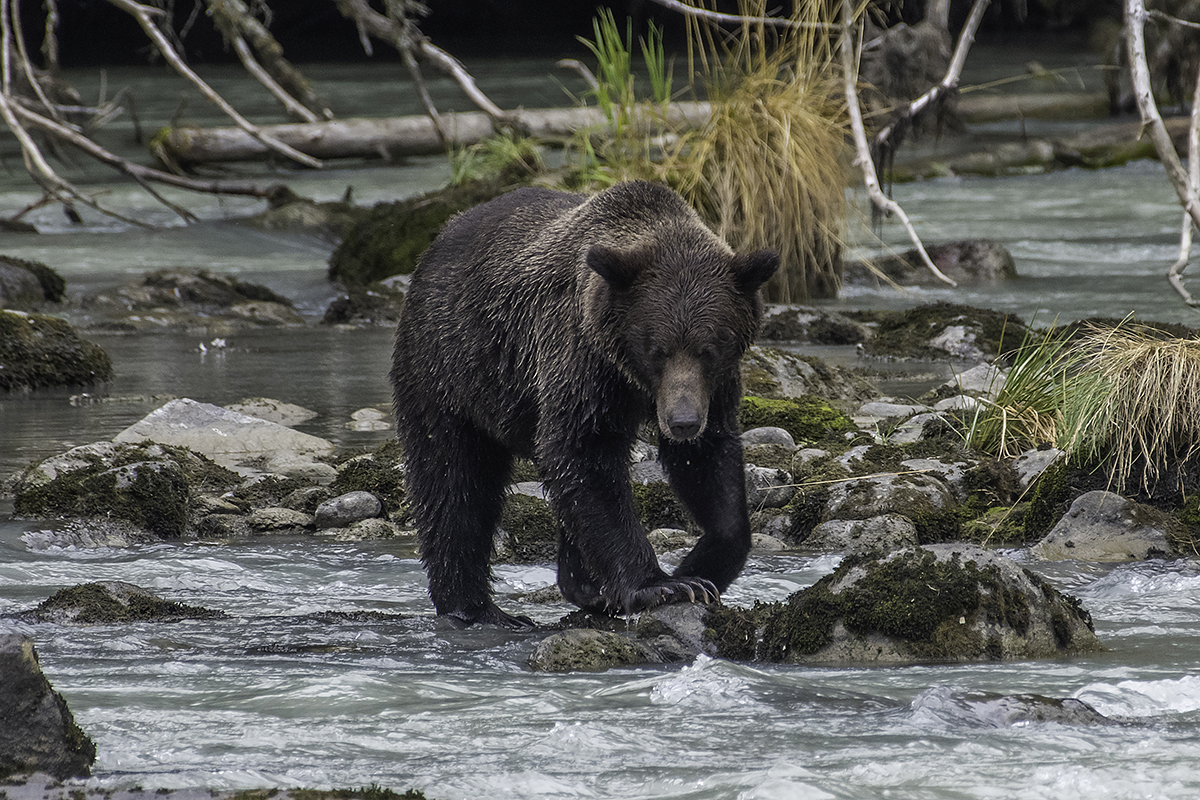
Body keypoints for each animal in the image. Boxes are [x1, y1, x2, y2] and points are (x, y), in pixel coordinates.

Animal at [393, 179, 777, 623]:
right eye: (657, 350)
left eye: (709, 349)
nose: (682, 422)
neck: (632, 380)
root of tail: (436, 243)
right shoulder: (581, 359)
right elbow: (583, 452)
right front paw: (662, 585)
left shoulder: (714, 389)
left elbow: (709, 464)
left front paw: (702, 569)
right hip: (450, 370)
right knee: (454, 481)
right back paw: (474, 607)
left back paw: (586, 587)